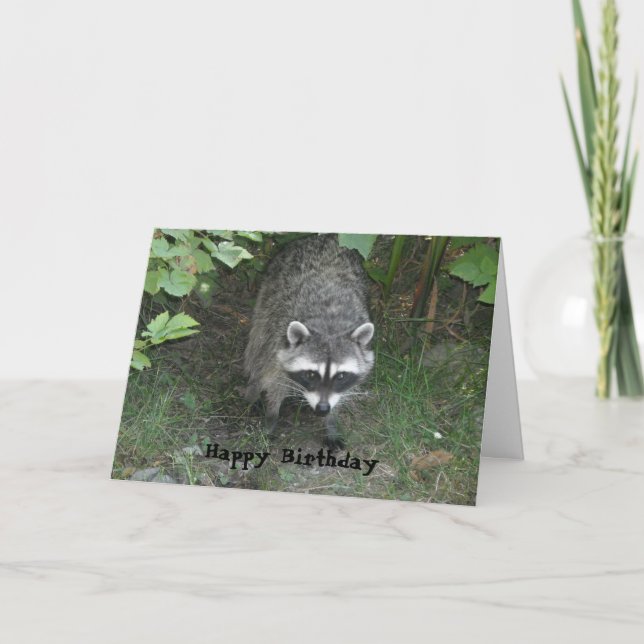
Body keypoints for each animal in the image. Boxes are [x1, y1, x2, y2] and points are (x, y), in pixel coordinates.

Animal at [243, 234, 375, 449]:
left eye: (341, 376)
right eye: (311, 374)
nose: (322, 409)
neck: (330, 327)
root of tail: (324, 237)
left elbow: (340, 394)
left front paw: (331, 423)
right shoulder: (278, 340)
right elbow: (274, 379)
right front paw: (271, 416)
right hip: (268, 292)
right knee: (257, 344)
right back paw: (253, 386)